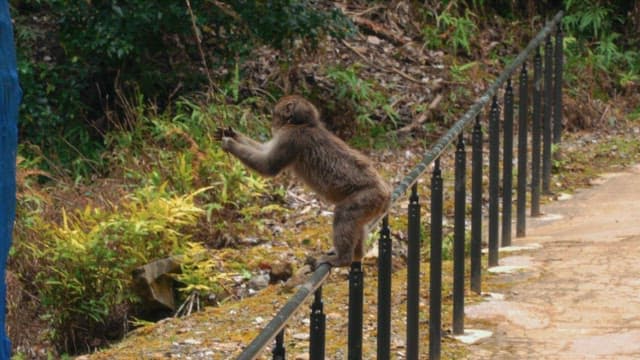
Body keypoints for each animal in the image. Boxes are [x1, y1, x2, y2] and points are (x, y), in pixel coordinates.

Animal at [218, 95, 392, 268]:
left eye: (274, 113)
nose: (271, 122)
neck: (303, 124)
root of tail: (386, 192)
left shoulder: (290, 138)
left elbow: (268, 166)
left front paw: (230, 144)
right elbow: (264, 149)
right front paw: (233, 134)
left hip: (368, 197)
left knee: (344, 214)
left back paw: (342, 259)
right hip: (372, 205)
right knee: (358, 225)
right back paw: (356, 255)